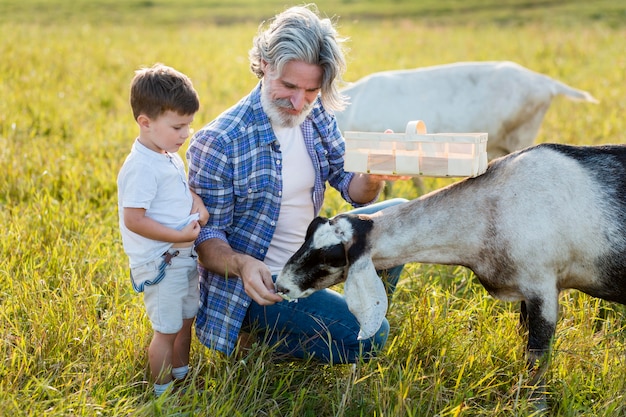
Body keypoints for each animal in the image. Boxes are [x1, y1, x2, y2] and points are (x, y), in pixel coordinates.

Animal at [276, 142, 624, 384]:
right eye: (308, 236)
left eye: (332, 256)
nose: (281, 285)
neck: (493, 206)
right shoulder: (527, 293)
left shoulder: (543, 288)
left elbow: (536, 362)